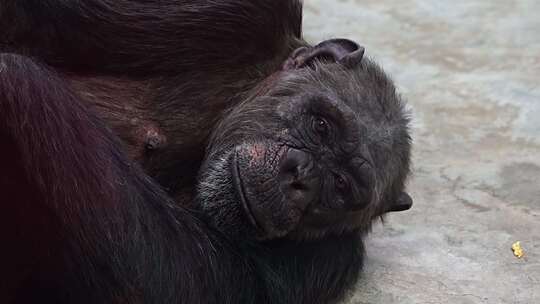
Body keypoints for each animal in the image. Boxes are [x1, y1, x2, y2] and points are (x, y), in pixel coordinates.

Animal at [1, 0, 414, 304]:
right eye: (322, 126)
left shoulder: (328, 260)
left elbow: (179, 280)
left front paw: (11, 74)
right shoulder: (234, 16)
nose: (299, 175)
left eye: (341, 185)